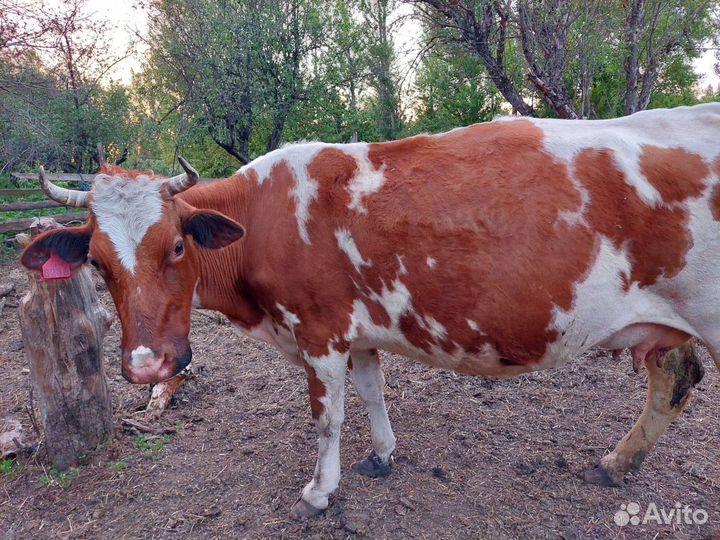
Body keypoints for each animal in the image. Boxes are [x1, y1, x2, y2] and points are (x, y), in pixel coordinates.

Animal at [20, 103, 719, 517]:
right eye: (96, 262)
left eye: (174, 245)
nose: (146, 366)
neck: (263, 221)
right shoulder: (355, 332)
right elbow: (372, 391)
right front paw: (382, 454)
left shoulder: (319, 330)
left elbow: (326, 417)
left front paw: (319, 491)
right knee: (675, 377)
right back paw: (617, 464)